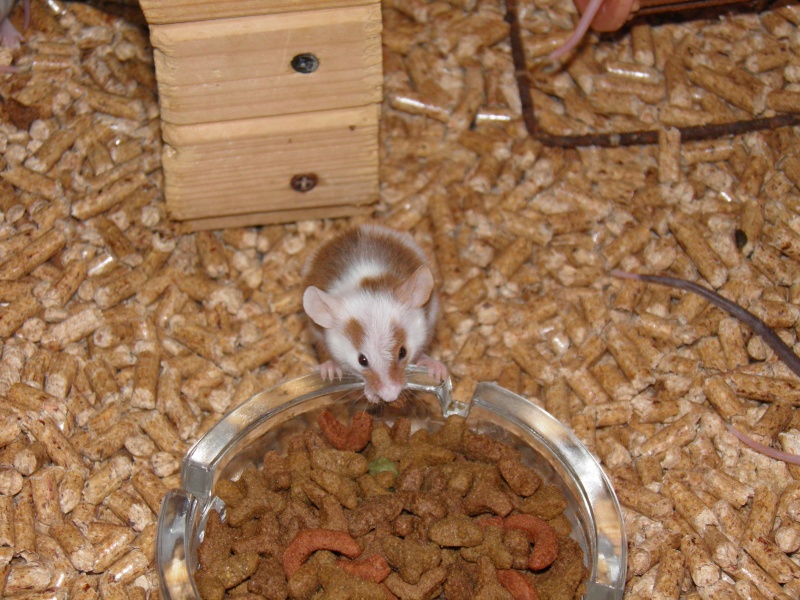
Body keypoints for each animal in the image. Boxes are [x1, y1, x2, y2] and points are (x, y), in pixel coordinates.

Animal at [302, 224, 448, 403]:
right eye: (362, 360)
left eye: (403, 352)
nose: (390, 397)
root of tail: (357, 228)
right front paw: (370, 394)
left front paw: (438, 371)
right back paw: (329, 370)